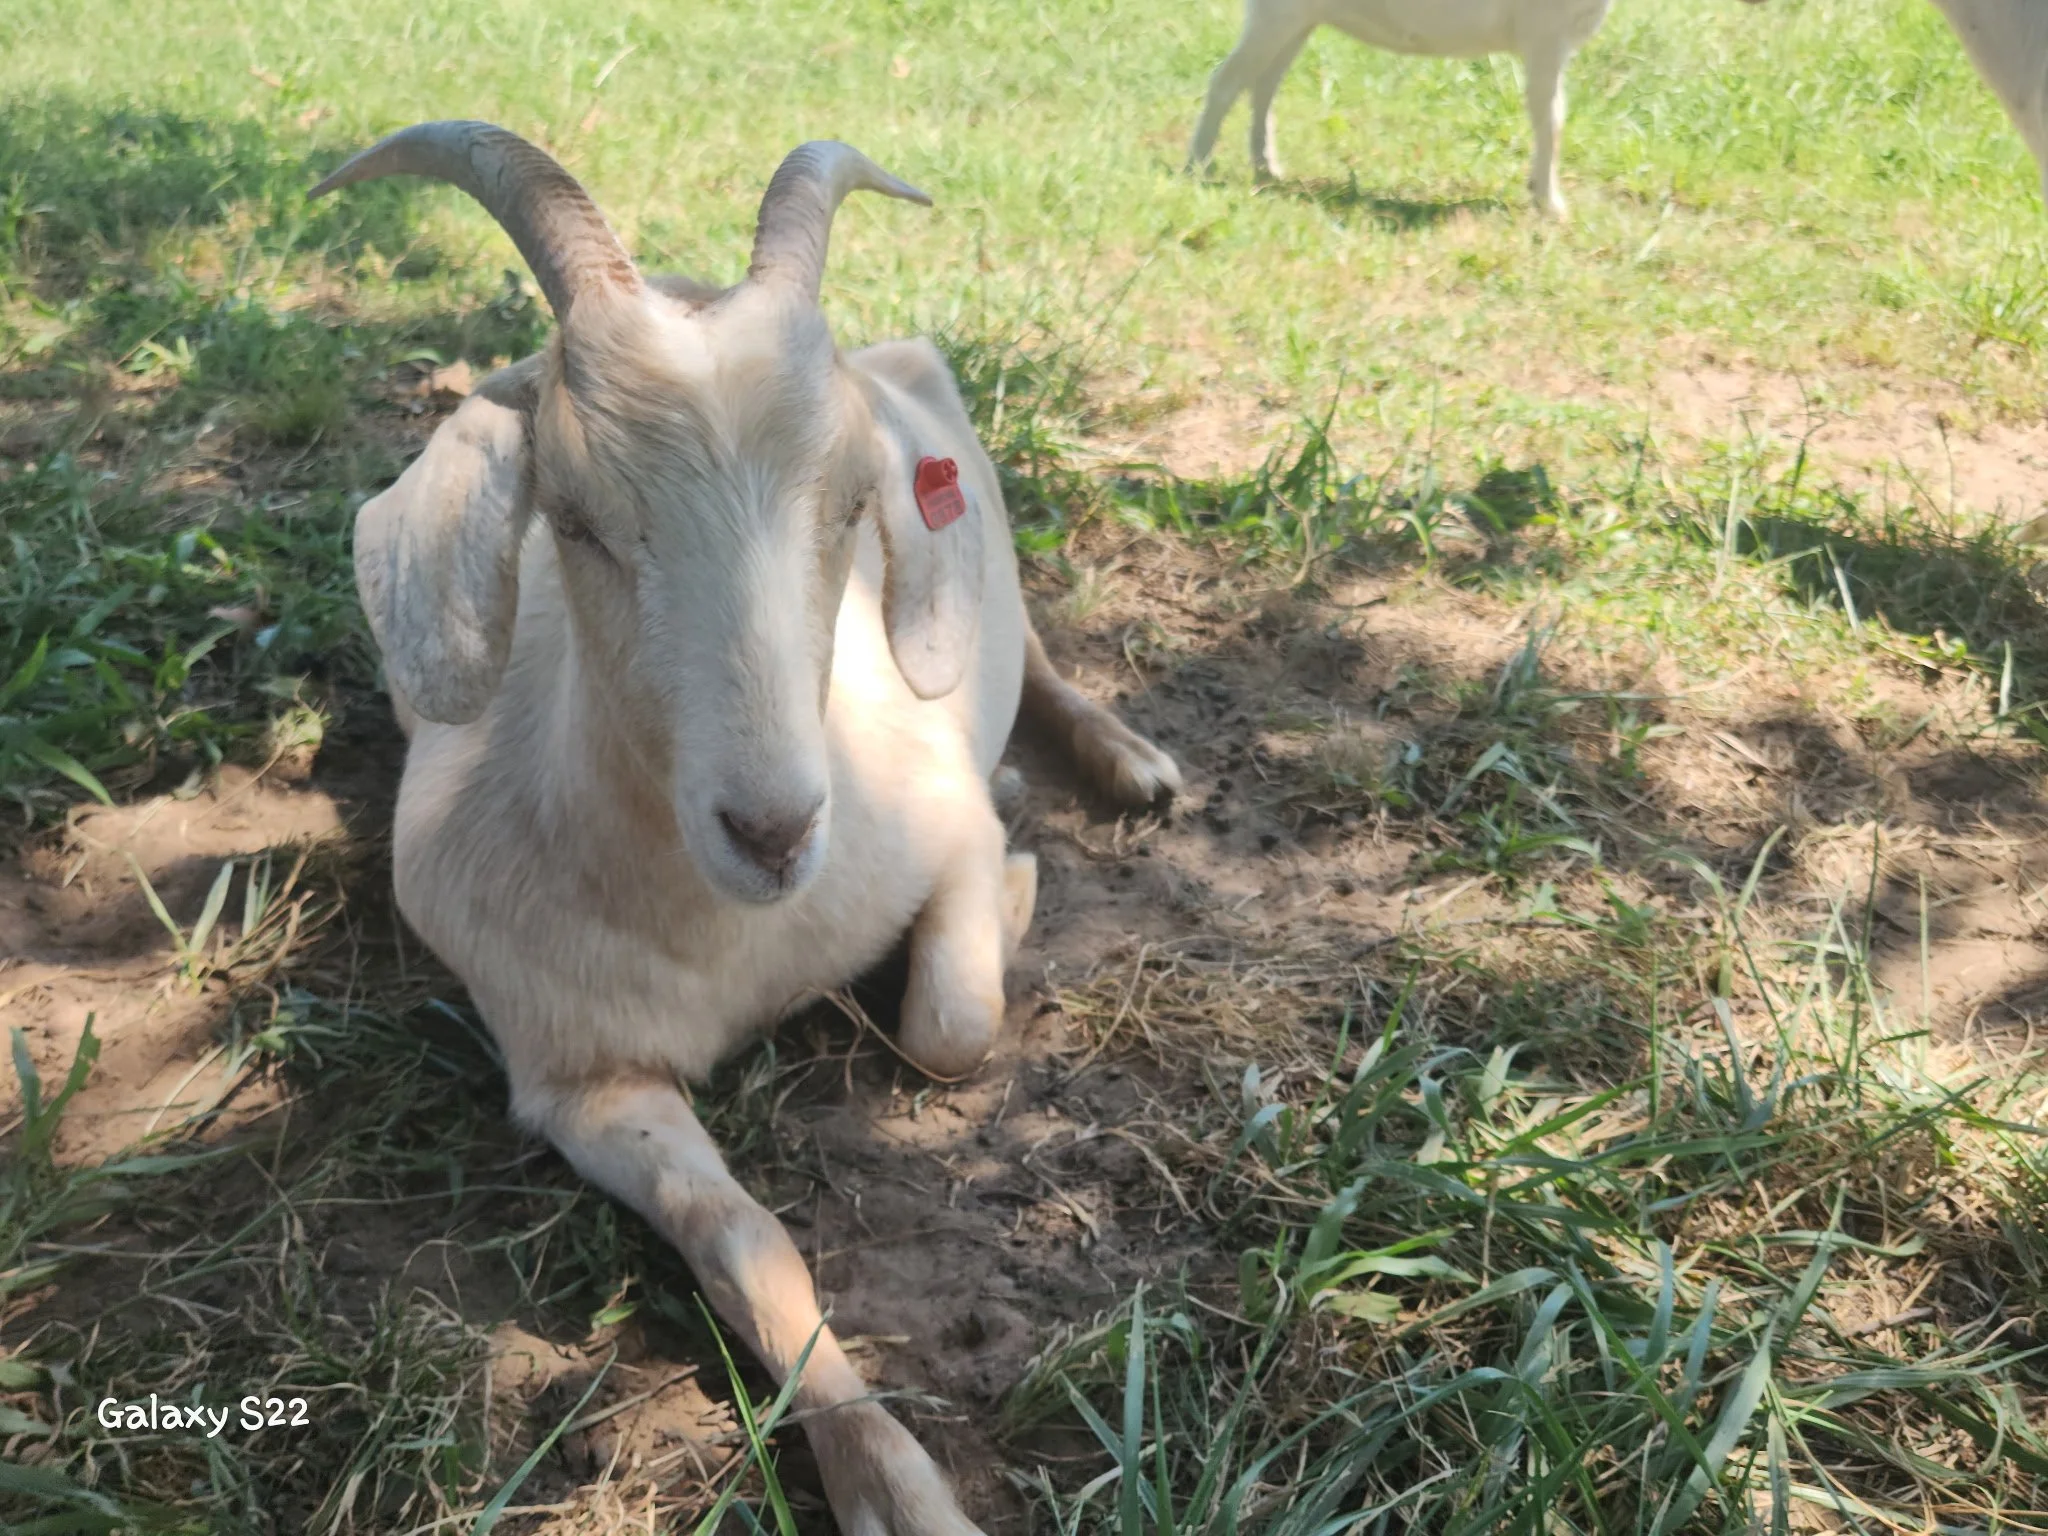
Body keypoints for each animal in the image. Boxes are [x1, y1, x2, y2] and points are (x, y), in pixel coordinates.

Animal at [311, 121, 1181, 1536]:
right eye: (572, 517)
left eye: (853, 507)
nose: (772, 831)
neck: (736, 940)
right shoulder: (575, 1072)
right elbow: (743, 1244)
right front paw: (891, 1485)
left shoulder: (926, 823)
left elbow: (950, 1029)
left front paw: (1012, 886)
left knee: (1037, 653)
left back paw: (1128, 764)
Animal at [1187, 0, 1767, 216]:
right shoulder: (1544, 36)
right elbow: (1552, 117)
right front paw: (1552, 205)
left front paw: (1539, 192)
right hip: (1279, 14)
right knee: (1227, 81)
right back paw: (1197, 168)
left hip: (1299, 19)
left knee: (1263, 87)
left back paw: (1267, 168)